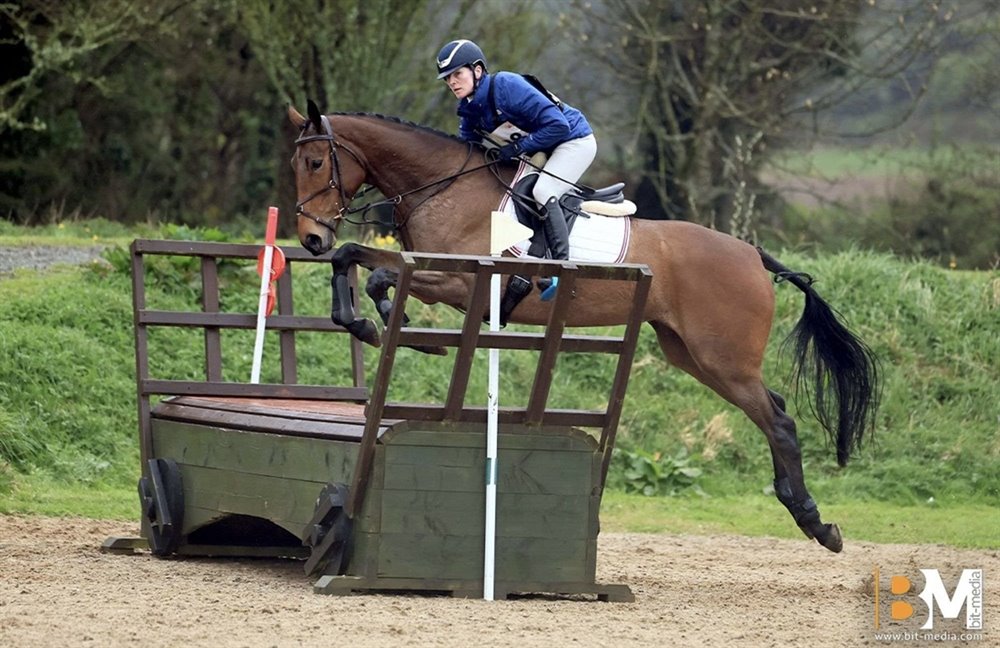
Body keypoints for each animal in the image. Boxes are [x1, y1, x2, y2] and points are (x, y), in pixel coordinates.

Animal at [287, 100, 880, 553]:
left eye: (316, 161)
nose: (310, 238)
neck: (443, 187)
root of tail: (754, 255)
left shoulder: (463, 285)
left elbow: (380, 275)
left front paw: (394, 323)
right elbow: (353, 257)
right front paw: (364, 324)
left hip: (723, 358)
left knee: (778, 421)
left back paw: (815, 522)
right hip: (692, 354)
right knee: (772, 409)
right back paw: (806, 512)